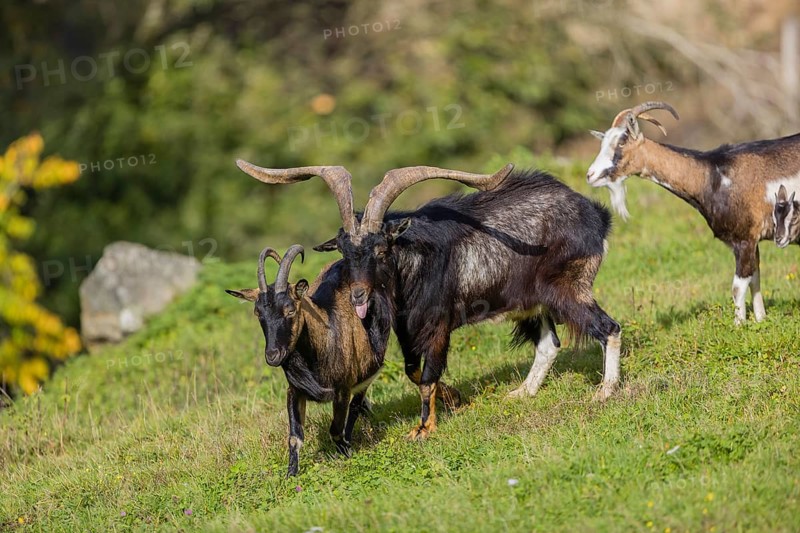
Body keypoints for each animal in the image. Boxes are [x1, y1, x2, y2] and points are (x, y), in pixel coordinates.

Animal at [226, 245, 381, 476]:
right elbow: (294, 437)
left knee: (356, 403)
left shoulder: (342, 389)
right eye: (258, 313)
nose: (273, 355)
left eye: (291, 310)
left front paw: (347, 452)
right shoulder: (294, 390)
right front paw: (291, 474)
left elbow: (336, 429)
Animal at [236, 161, 622, 440]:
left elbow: (426, 376)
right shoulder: (407, 329)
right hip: (533, 300)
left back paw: (604, 392)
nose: (359, 295)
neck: (412, 263)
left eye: (381, 249)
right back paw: (522, 393)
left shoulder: (438, 326)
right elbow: (414, 371)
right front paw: (455, 399)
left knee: (609, 328)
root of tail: (595, 215)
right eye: (344, 250)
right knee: (549, 344)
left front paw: (424, 428)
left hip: (568, 288)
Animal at [587, 101, 800, 324]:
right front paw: (760, 319)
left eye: (621, 143)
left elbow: (738, 287)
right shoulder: (747, 242)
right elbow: (755, 279)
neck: (713, 175)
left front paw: (739, 325)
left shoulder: (745, 239)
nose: (590, 175)